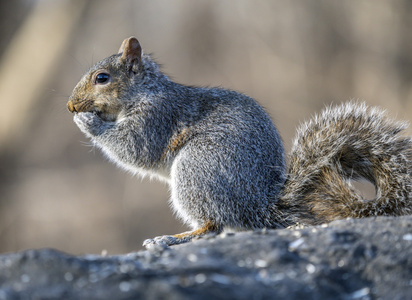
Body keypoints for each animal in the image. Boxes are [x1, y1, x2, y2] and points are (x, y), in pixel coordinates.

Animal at [67, 37, 412, 248]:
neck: (144, 92)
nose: (71, 105)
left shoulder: (157, 118)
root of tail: (260, 207)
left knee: (212, 224)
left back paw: (173, 238)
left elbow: (135, 148)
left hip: (197, 168)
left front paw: (89, 122)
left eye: (102, 78)